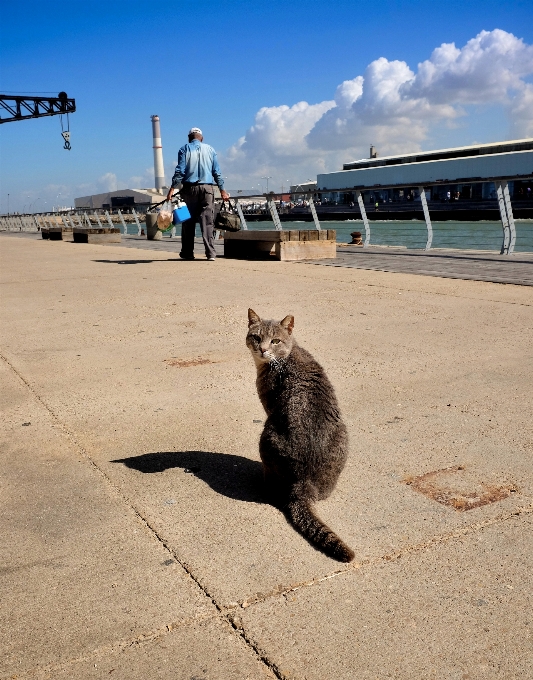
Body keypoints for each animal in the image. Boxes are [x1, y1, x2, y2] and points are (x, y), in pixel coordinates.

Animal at [246, 310, 354, 564]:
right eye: (256, 337)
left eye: (275, 341)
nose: (262, 349)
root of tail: (303, 485)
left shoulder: (269, 406)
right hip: (344, 434)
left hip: (267, 434)